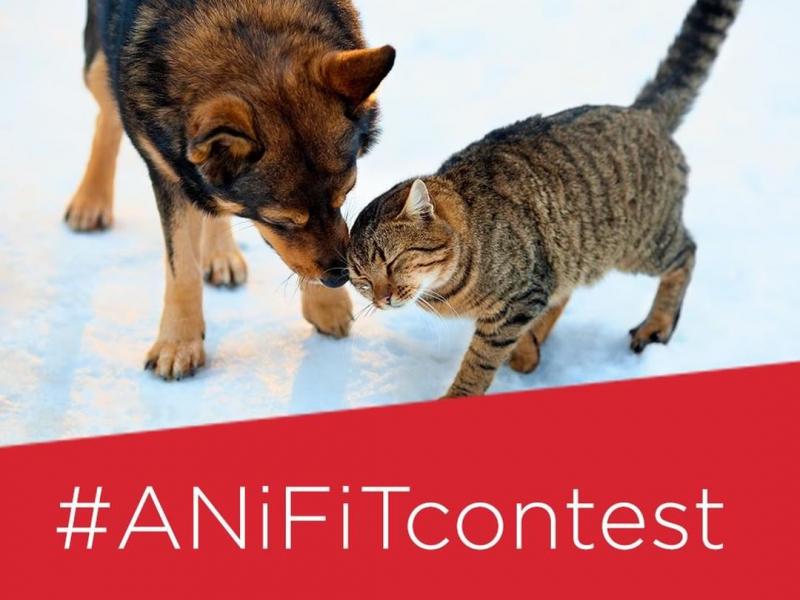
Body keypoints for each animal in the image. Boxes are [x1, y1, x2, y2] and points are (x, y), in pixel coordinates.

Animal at [67, 0, 395, 379]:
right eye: (281, 220)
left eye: (345, 195)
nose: (339, 277)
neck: (238, 19)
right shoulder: (166, 168)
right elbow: (182, 265)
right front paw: (179, 345)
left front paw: (326, 305)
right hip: (100, 65)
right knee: (107, 114)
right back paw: (90, 203)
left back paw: (221, 254)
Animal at [347, 0, 743, 398]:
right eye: (362, 280)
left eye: (392, 261)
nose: (382, 298)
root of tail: (640, 112)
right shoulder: (535, 286)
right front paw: (526, 350)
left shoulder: (519, 299)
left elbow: (479, 361)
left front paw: (458, 396)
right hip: (576, 247)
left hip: (643, 245)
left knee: (686, 253)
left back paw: (657, 324)